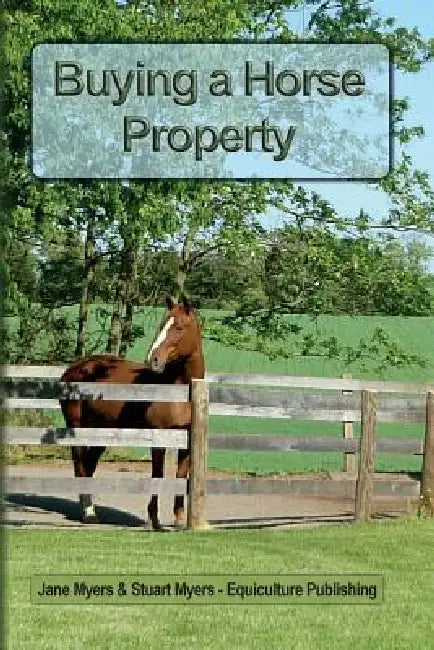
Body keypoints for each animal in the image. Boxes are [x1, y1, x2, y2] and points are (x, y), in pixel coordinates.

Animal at [59, 297, 205, 529]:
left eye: (179, 327)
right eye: (162, 325)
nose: (154, 359)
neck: (179, 393)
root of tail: (73, 370)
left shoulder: (187, 442)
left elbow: (181, 476)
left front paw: (179, 520)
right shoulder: (158, 439)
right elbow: (158, 475)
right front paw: (152, 520)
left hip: (102, 431)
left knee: (88, 466)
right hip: (78, 428)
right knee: (80, 466)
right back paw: (88, 513)